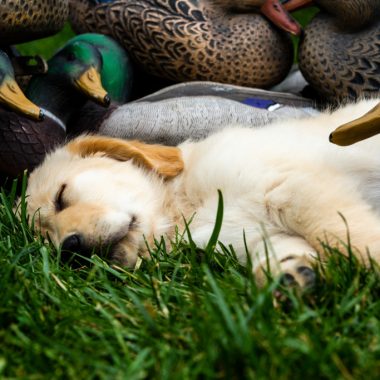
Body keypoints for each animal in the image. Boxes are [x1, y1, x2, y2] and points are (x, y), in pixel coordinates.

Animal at [25, 98, 380, 288]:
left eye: (60, 197)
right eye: (49, 245)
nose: (70, 251)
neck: (184, 208)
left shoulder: (293, 188)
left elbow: (349, 235)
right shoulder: (250, 234)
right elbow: (282, 246)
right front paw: (288, 273)